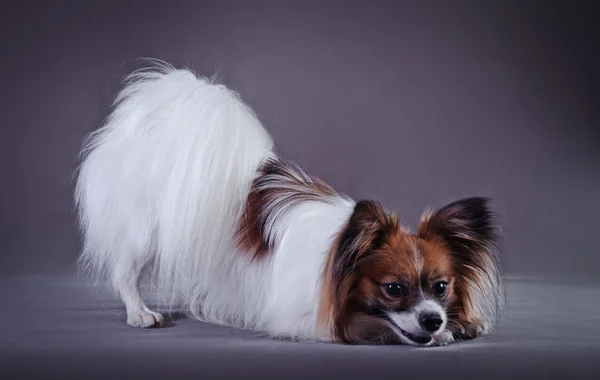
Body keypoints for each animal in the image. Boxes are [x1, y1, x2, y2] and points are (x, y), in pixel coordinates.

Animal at [76, 60, 506, 346]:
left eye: (441, 287)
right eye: (394, 289)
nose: (433, 320)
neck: (338, 252)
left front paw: (461, 323)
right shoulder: (298, 316)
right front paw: (441, 333)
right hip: (144, 233)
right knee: (126, 273)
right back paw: (139, 313)